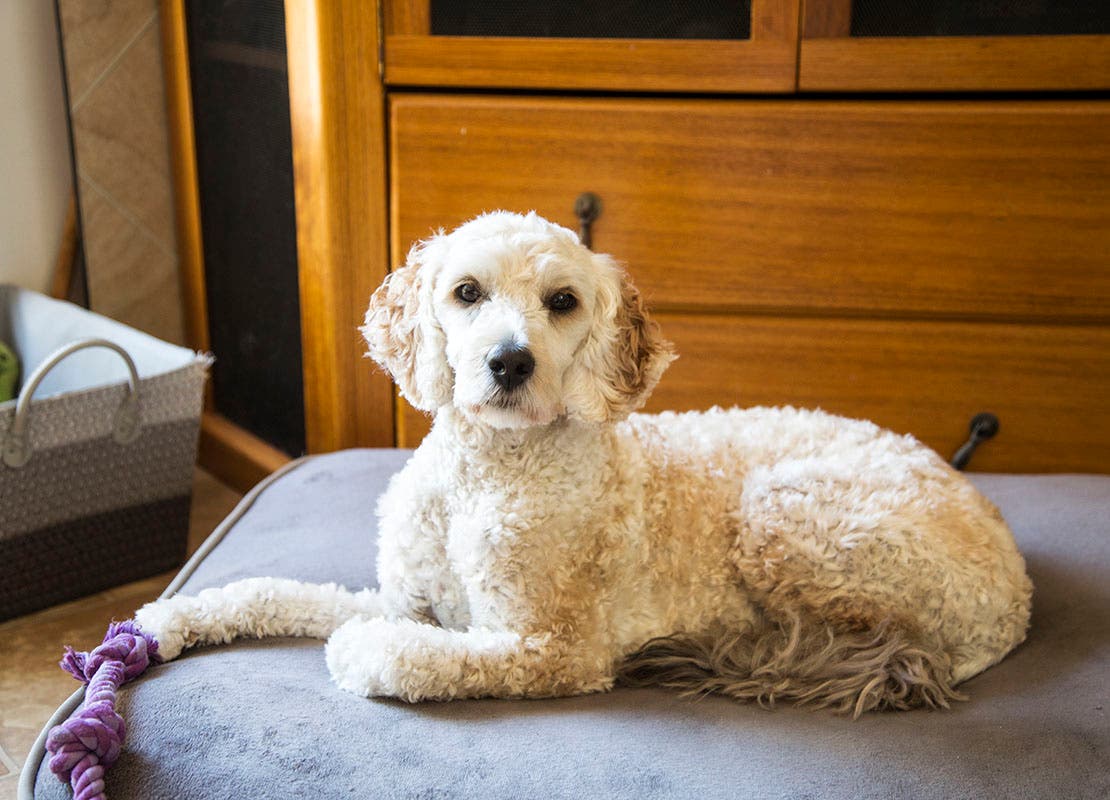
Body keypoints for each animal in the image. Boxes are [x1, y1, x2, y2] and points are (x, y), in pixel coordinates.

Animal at [136, 210, 1030, 710]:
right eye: (466, 292)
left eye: (562, 302)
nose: (510, 362)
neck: (486, 475)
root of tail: (1014, 593)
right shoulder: (407, 599)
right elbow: (273, 591)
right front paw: (171, 619)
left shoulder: (549, 648)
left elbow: (394, 650)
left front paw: (360, 653)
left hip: (785, 515)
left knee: (860, 638)